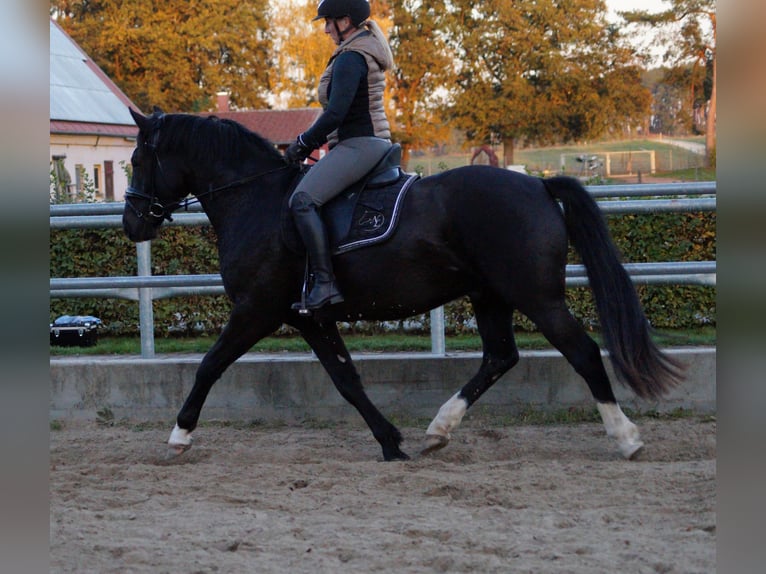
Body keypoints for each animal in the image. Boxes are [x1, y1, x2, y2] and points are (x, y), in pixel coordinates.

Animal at [121, 110, 684, 464]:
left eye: (137, 161)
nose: (131, 224)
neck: (255, 199)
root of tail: (539, 184)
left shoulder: (257, 310)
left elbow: (210, 365)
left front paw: (179, 435)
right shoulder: (311, 318)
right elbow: (347, 381)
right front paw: (391, 441)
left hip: (537, 298)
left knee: (583, 353)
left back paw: (626, 438)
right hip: (490, 296)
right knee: (500, 357)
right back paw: (438, 431)